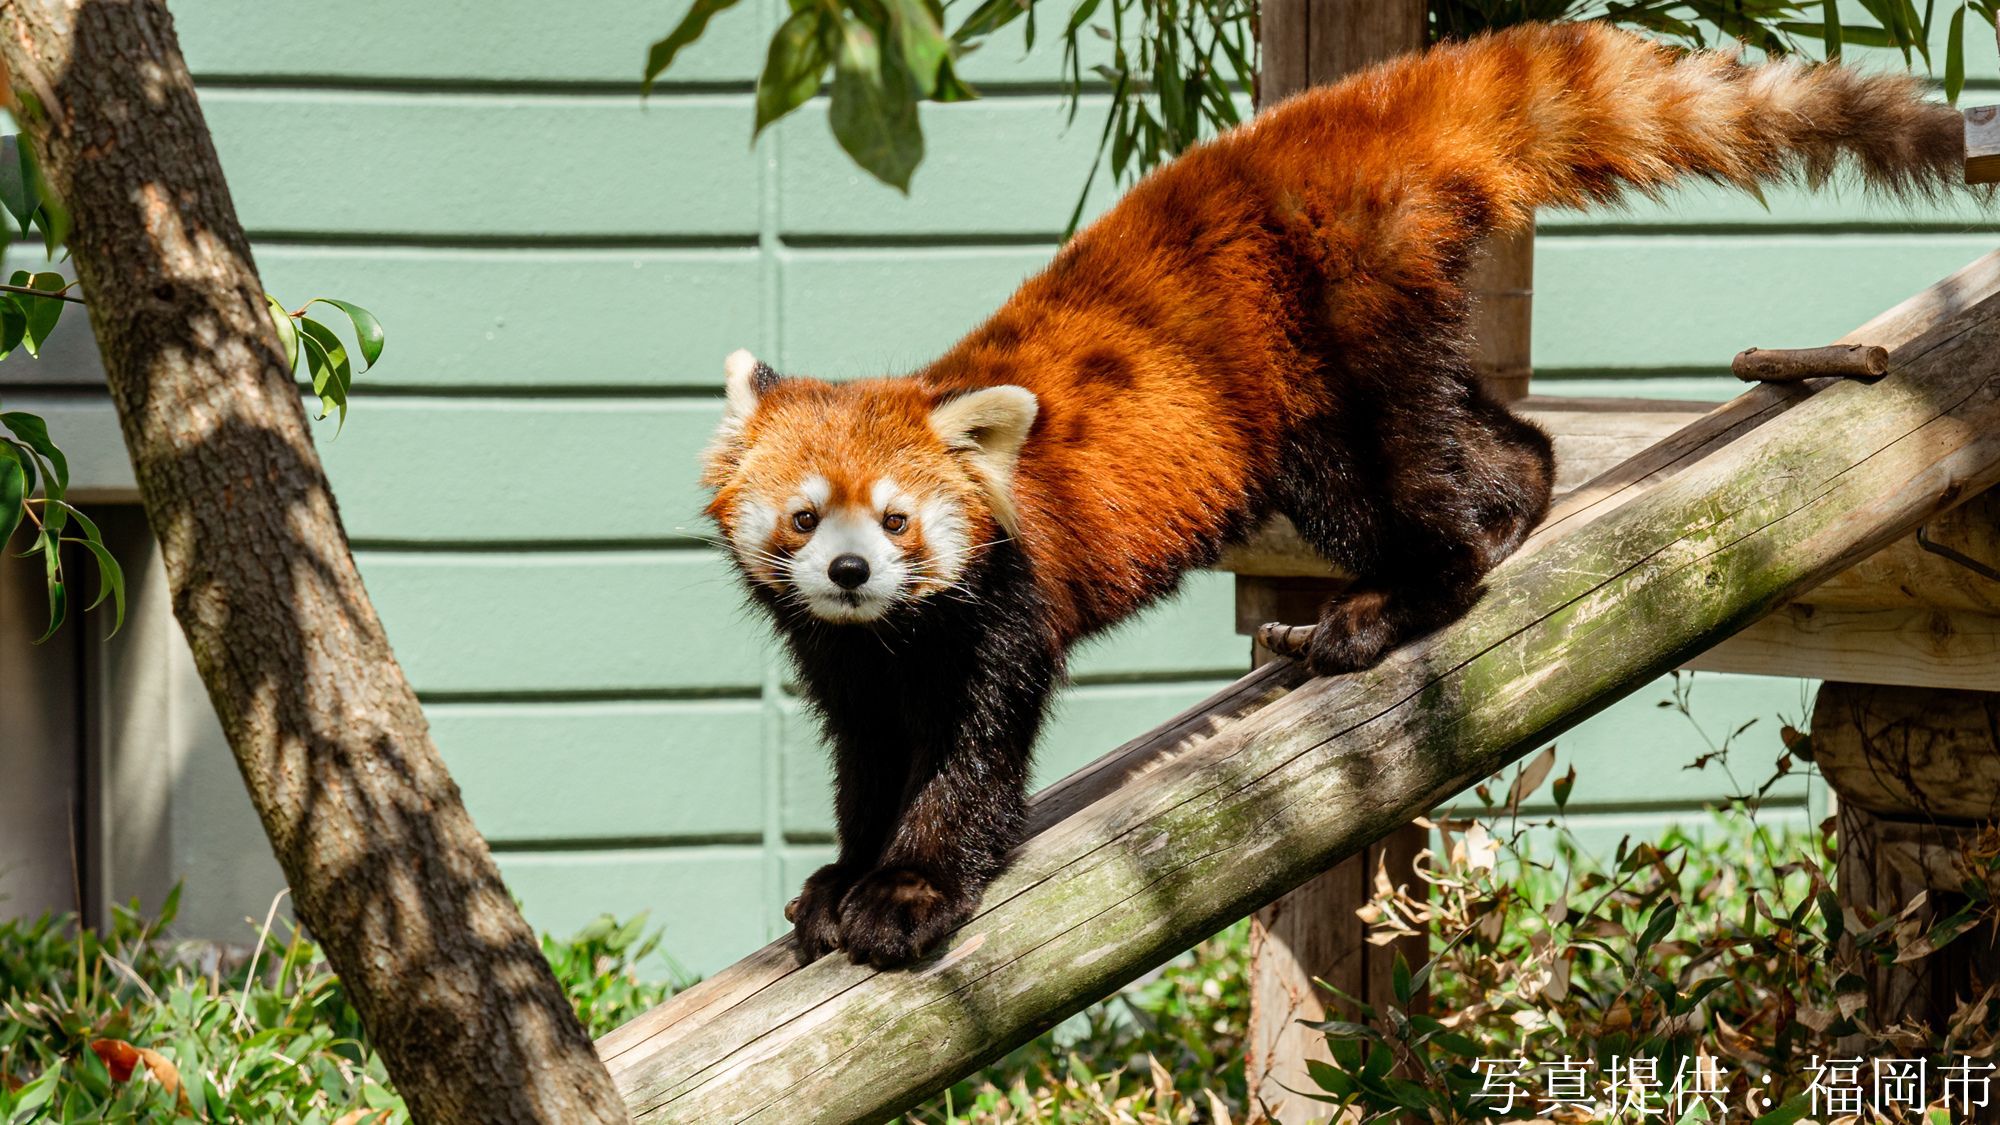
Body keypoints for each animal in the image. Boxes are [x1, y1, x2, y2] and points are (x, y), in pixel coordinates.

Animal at [704, 19, 1968, 964]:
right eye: (806, 517)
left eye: (899, 518)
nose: (852, 572)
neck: (893, 633)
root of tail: (1342, 119)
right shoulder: (848, 662)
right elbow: (867, 759)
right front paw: (841, 877)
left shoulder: (1000, 606)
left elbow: (970, 757)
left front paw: (906, 895)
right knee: (1496, 440)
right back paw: (1510, 503)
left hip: (1330, 352)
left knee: (1397, 492)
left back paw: (1385, 606)